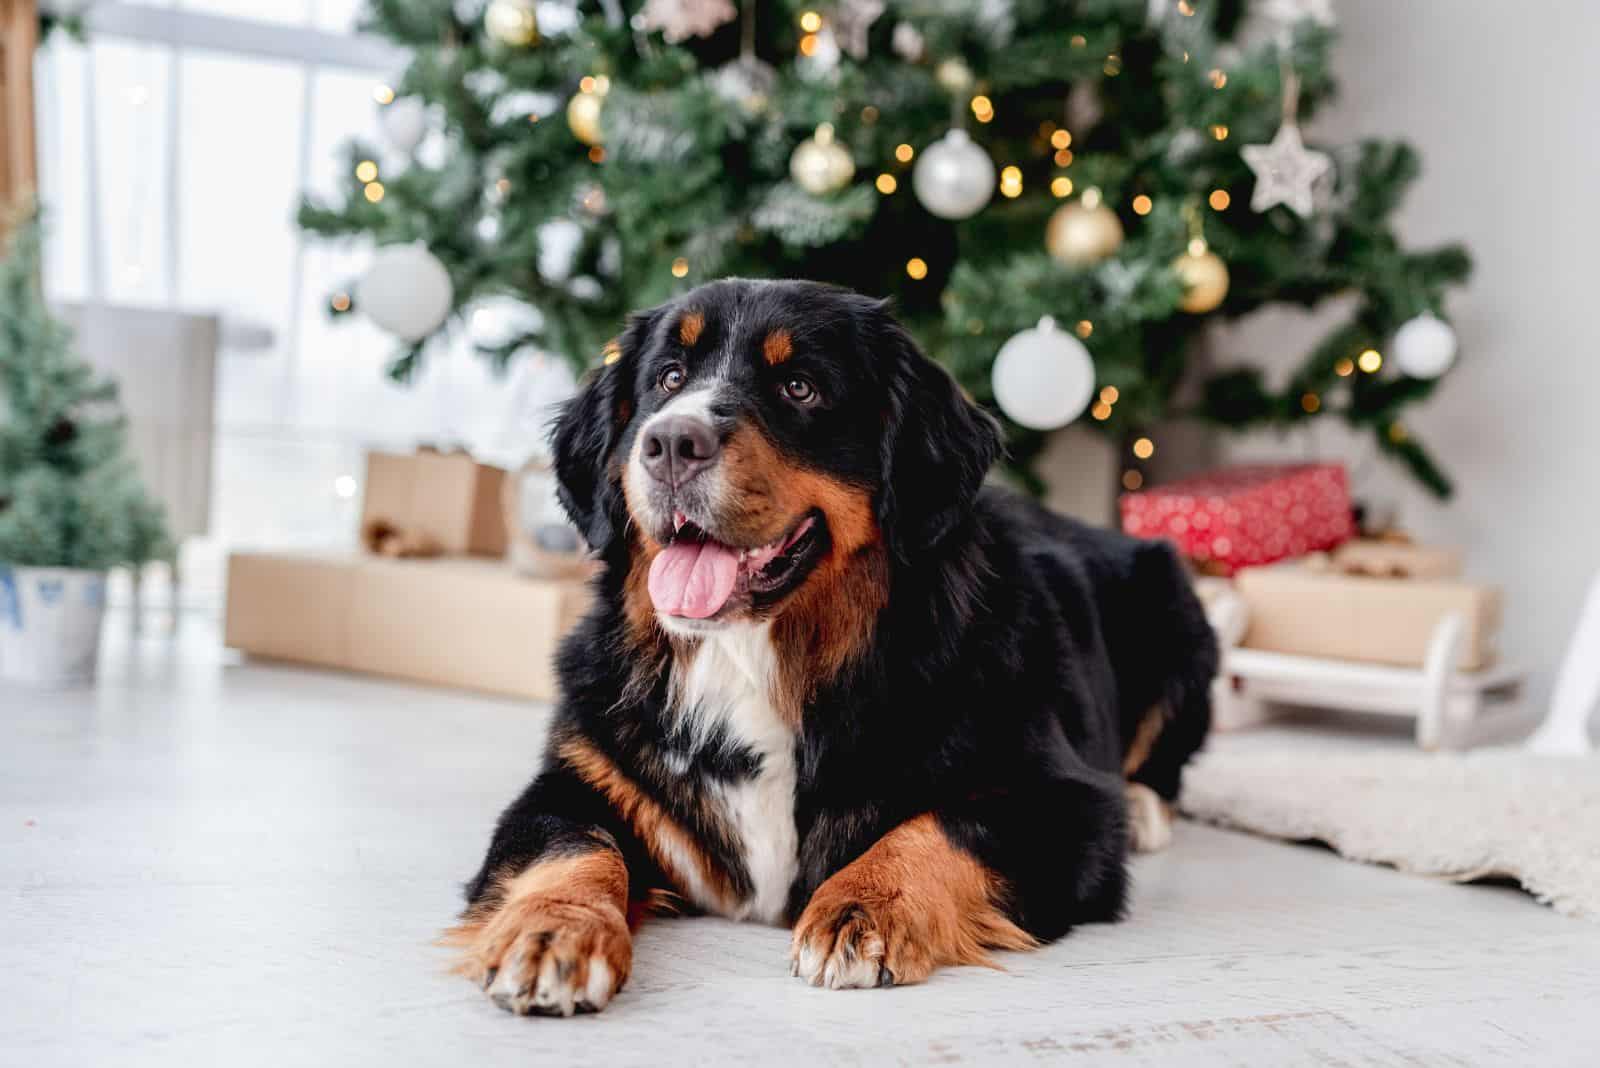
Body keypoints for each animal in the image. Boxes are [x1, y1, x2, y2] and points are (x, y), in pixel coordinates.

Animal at [444, 279, 1216, 1016]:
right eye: (667, 377)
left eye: (800, 387)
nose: (669, 444)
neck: (756, 658)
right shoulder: (579, 777)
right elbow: (571, 847)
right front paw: (552, 933)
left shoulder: (1062, 801)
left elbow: (941, 826)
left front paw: (863, 906)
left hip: (1178, 610)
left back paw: (1146, 809)